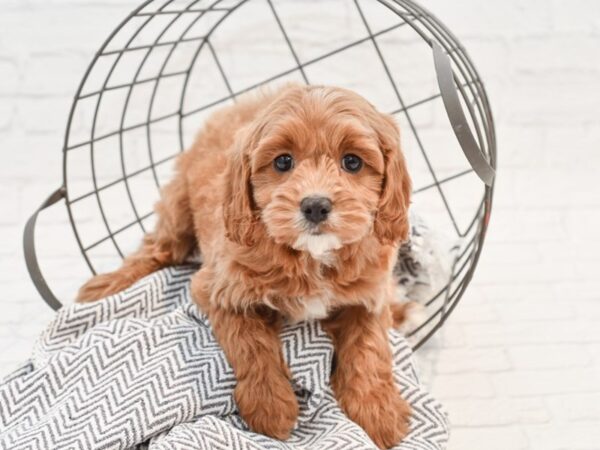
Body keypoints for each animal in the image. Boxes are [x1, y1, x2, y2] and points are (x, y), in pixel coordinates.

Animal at [78, 85, 412, 450]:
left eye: (352, 162)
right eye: (283, 161)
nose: (315, 205)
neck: (310, 256)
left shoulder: (369, 294)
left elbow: (370, 347)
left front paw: (377, 410)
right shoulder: (218, 288)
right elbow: (249, 342)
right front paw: (269, 407)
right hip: (178, 204)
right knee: (159, 247)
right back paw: (108, 284)